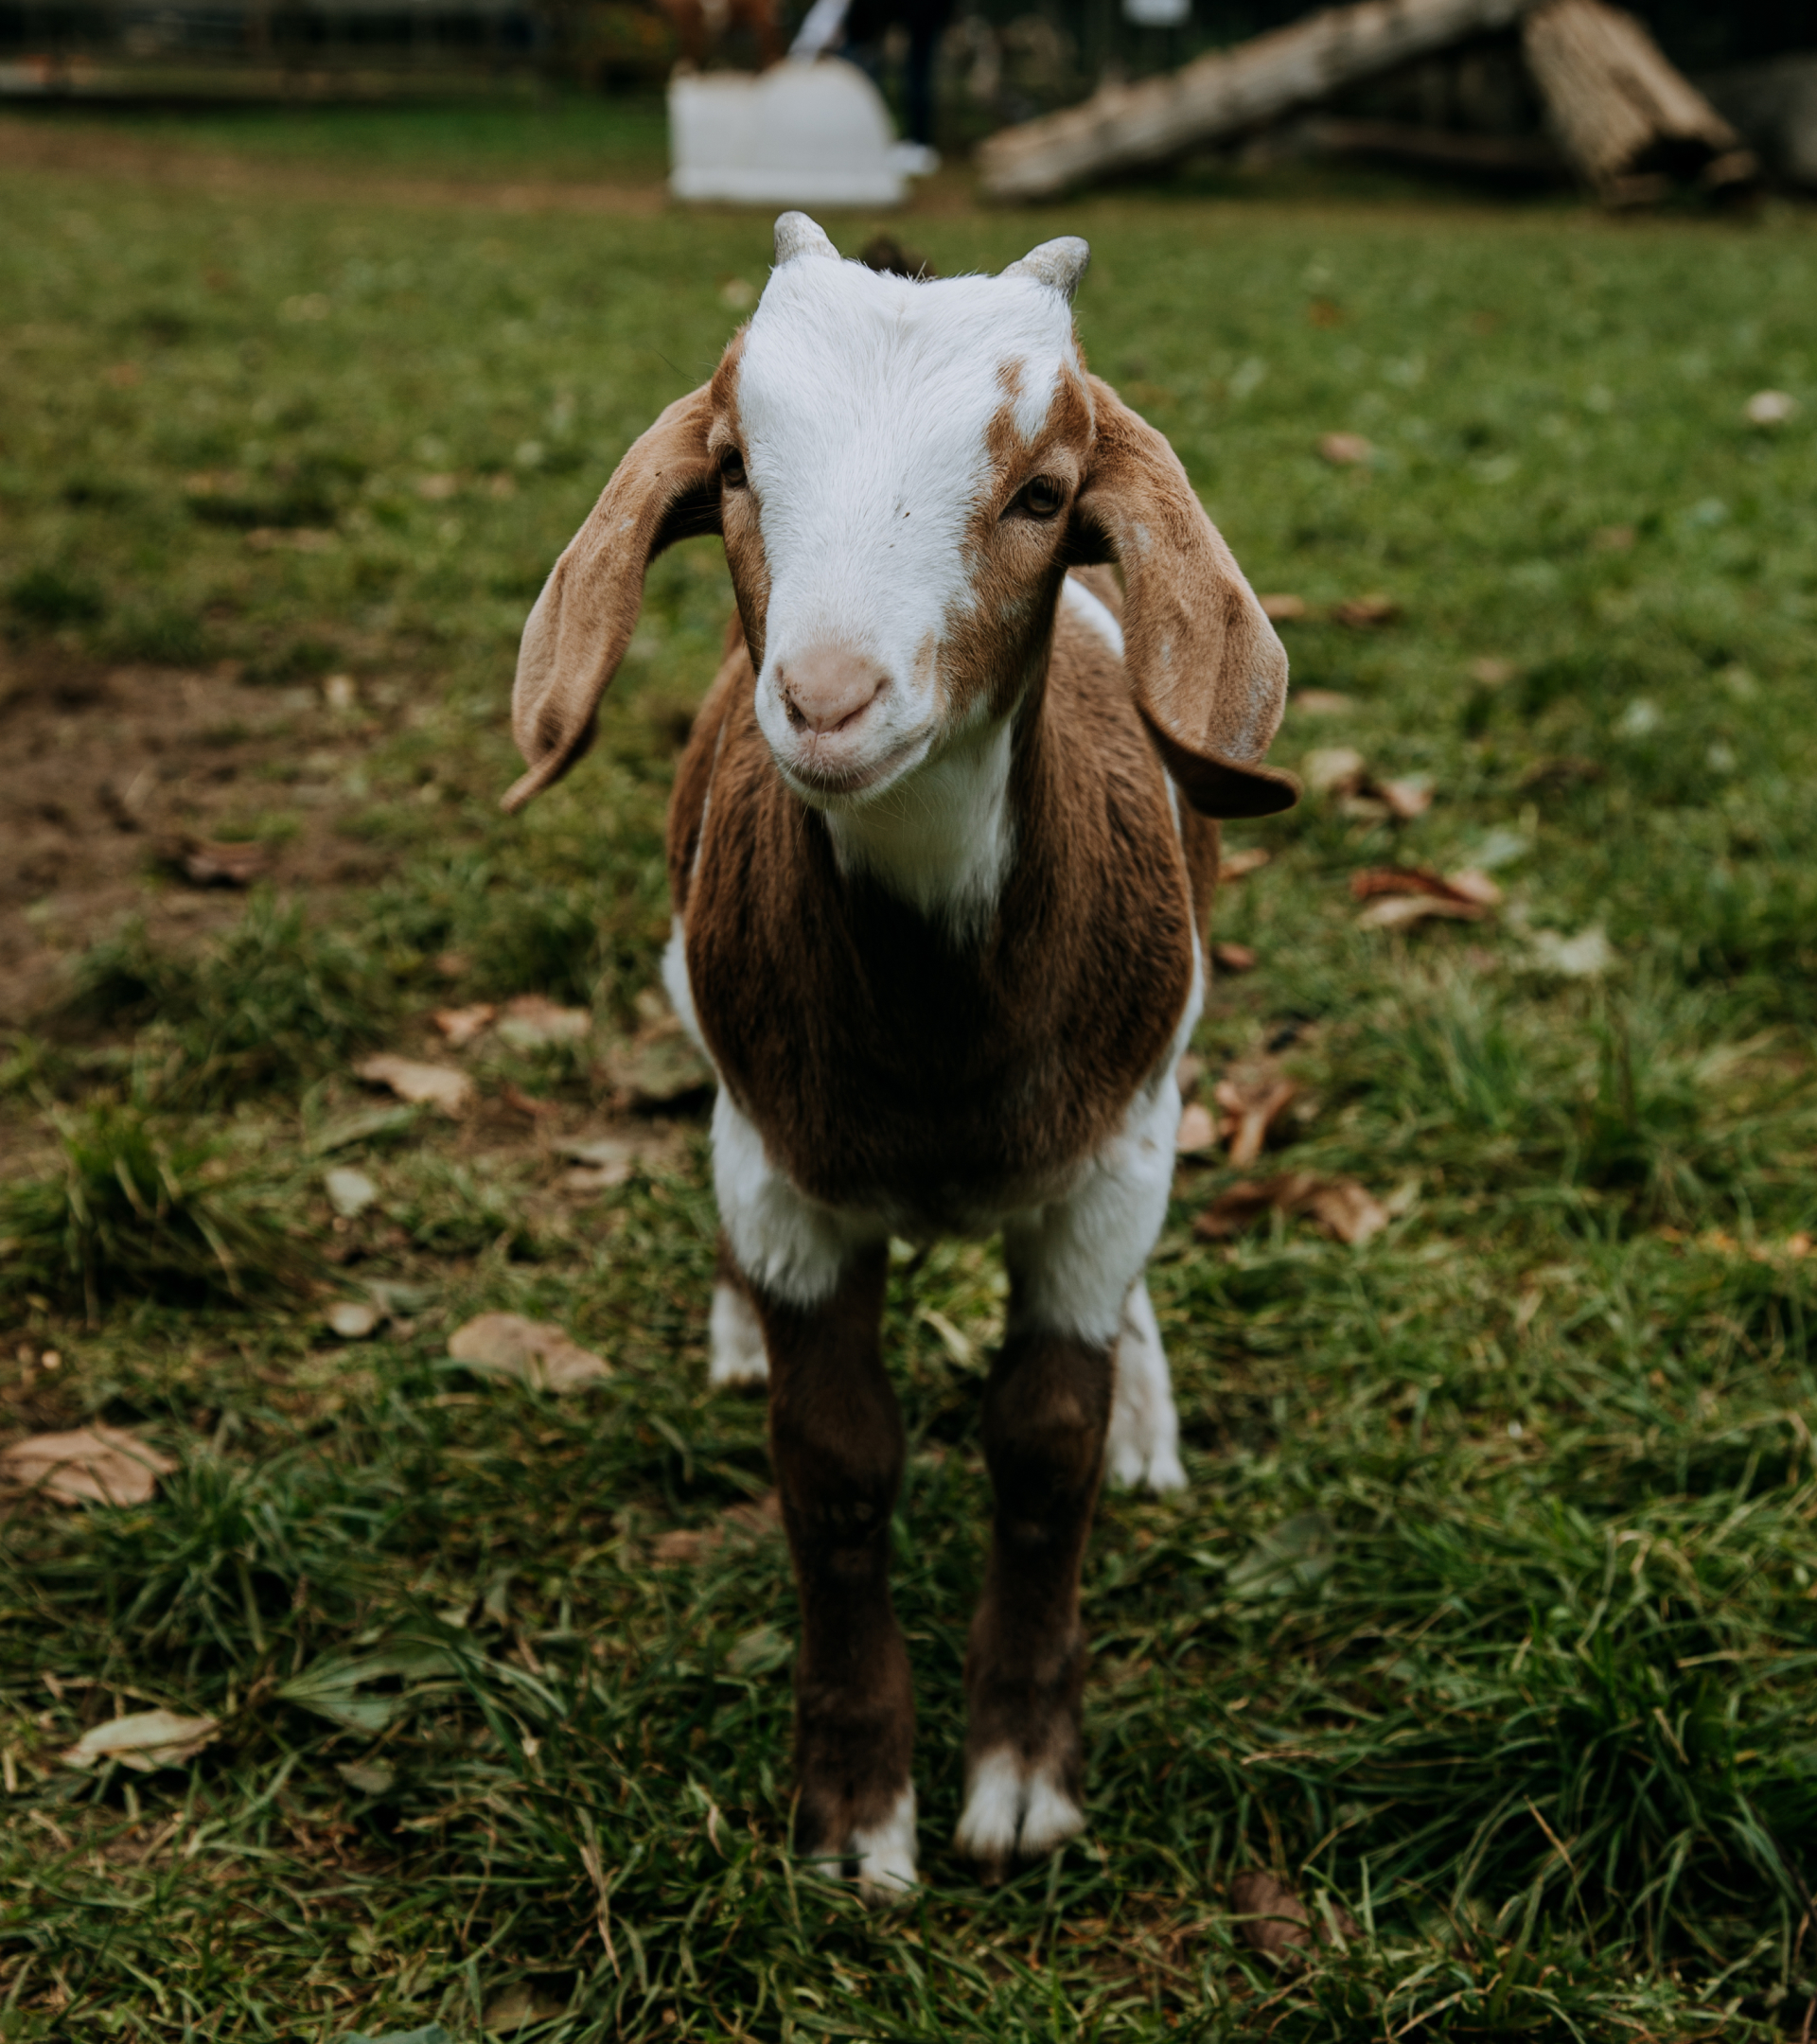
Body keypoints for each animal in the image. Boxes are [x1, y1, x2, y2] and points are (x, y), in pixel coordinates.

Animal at [505, 212, 1296, 1897]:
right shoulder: (784, 1178)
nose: (826, 701)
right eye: (737, 468)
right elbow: (837, 1465)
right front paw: (857, 1813)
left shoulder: (1111, 1161)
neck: (943, 1039)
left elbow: (1045, 1447)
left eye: (1045, 495)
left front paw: (1022, 1784)